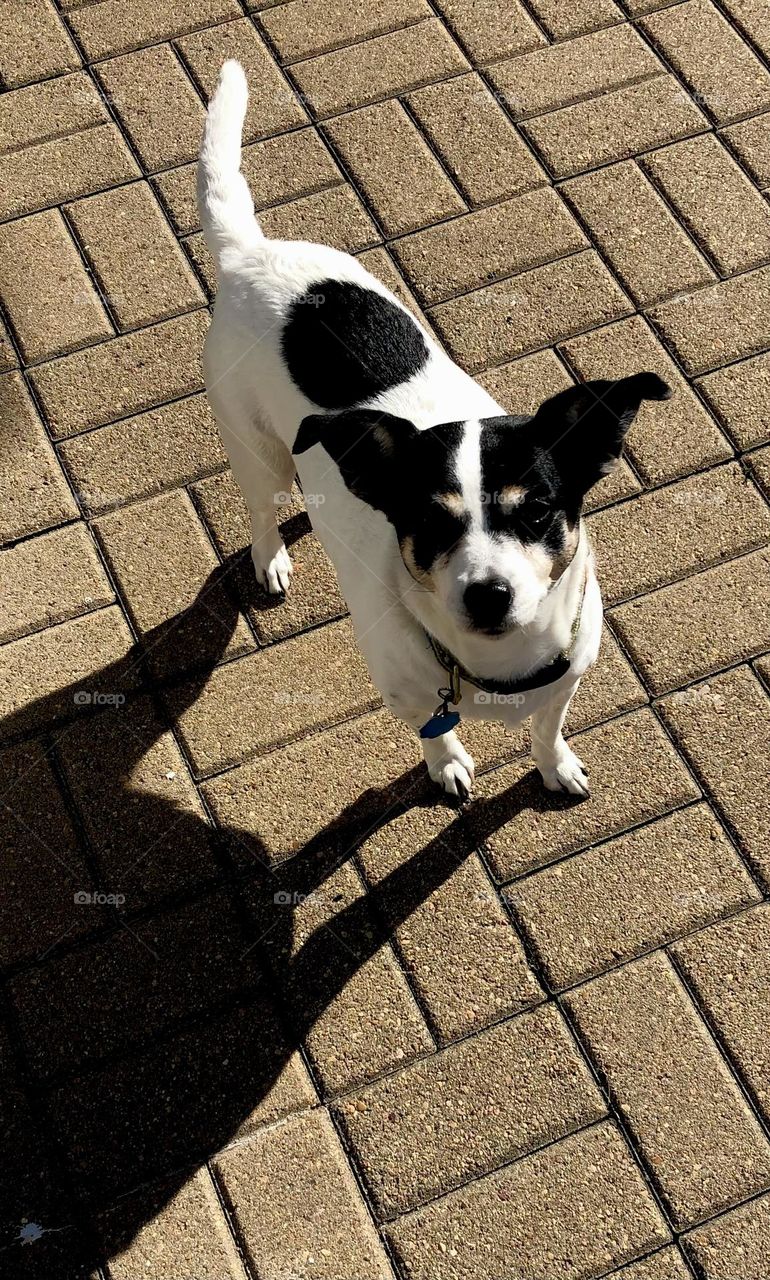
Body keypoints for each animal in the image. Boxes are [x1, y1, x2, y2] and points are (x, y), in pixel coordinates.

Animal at [199, 62, 670, 798]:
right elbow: (435, 730)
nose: (488, 594)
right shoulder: (411, 696)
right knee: (261, 505)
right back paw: (270, 553)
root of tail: (249, 250)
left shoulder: (566, 678)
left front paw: (553, 764)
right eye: (430, 520)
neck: (499, 669)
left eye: (537, 510)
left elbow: (547, 727)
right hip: (252, 443)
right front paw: (446, 763)